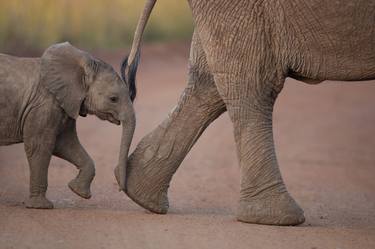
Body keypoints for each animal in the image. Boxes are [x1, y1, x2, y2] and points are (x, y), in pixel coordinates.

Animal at [0, 42, 137, 208]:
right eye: (113, 99)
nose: (120, 189)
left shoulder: (65, 103)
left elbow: (65, 144)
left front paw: (78, 191)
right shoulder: (44, 104)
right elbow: (40, 145)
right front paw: (41, 206)